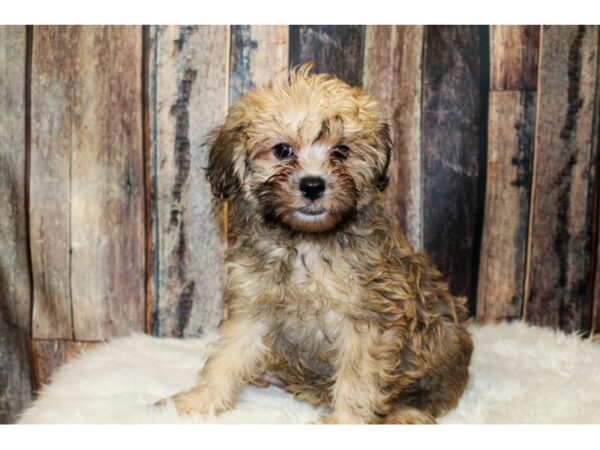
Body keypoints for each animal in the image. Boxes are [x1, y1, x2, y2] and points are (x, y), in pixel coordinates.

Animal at [166, 64, 472, 426]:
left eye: (341, 151)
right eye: (282, 150)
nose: (313, 185)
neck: (305, 241)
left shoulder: (369, 317)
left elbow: (357, 377)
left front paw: (344, 421)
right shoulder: (253, 305)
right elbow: (227, 356)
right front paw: (199, 401)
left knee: (430, 395)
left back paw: (406, 413)